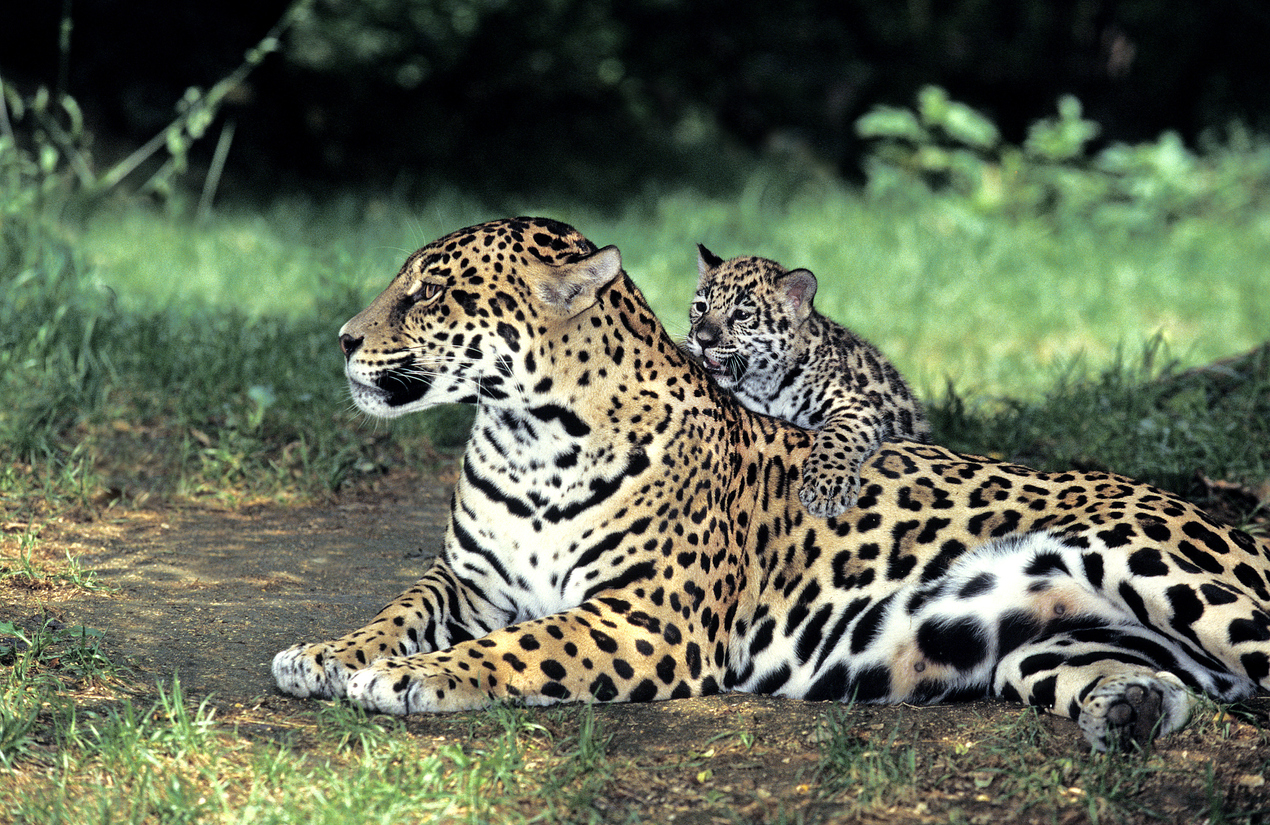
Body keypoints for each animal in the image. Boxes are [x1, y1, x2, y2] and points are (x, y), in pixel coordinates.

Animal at [687, 246, 931, 518]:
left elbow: (837, 438)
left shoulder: (856, 406)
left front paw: (827, 488)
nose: (703, 339)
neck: (765, 387)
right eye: (701, 307)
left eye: (741, 315)